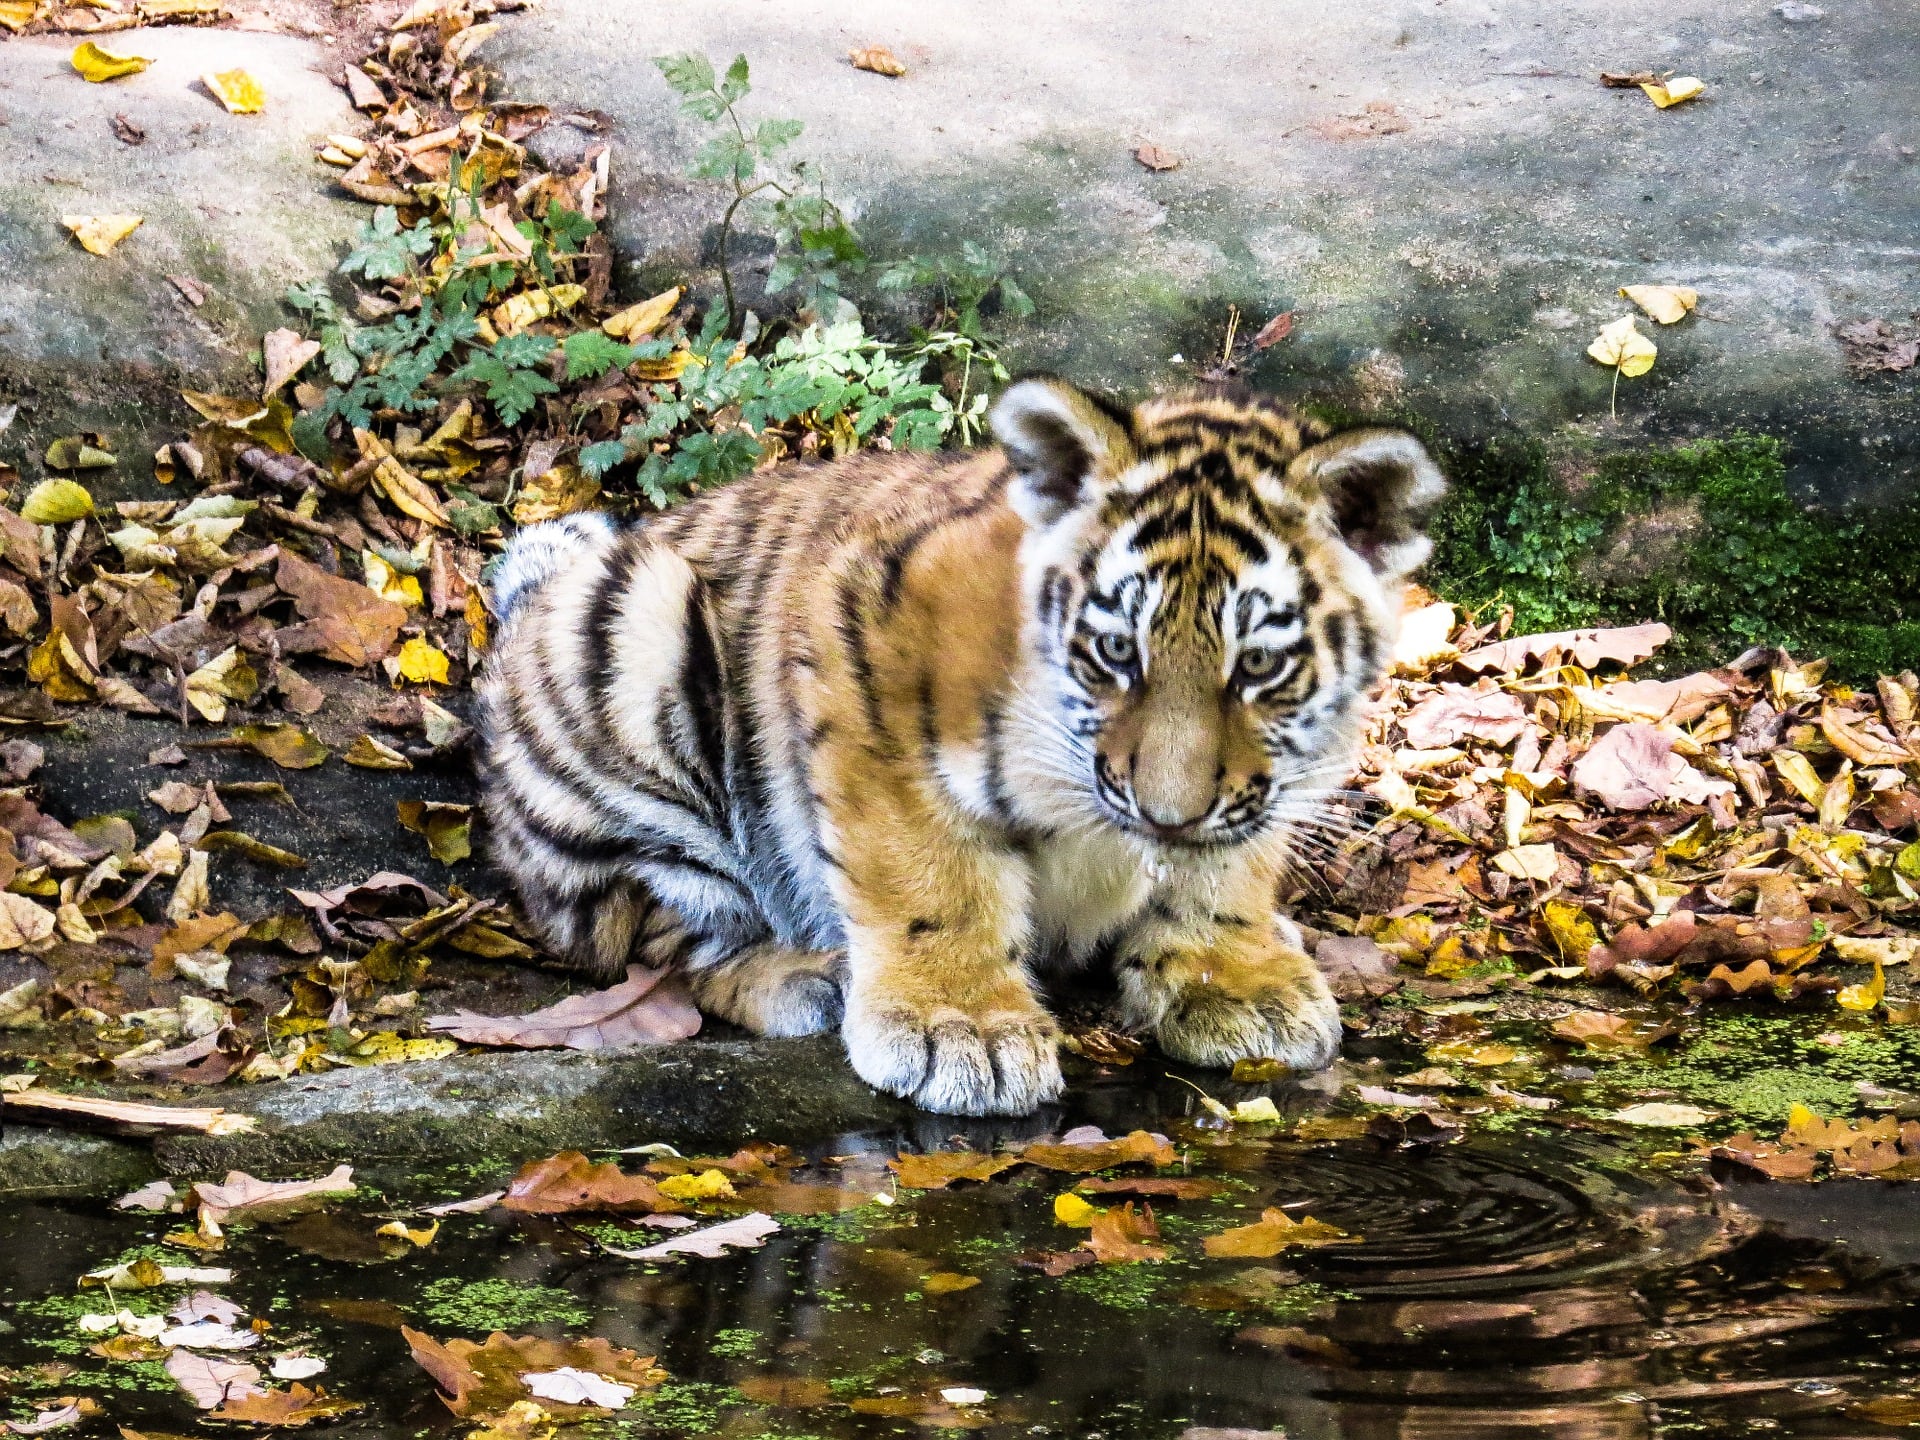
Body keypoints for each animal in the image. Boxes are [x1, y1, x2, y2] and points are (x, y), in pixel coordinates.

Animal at [475, 377, 1445, 1116]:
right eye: (1116, 652)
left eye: (1258, 666)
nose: (1168, 815)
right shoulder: (862, 651)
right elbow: (927, 874)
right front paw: (963, 1030)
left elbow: (1224, 865)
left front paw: (1235, 980)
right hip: (635, 627)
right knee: (655, 936)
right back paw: (808, 976)